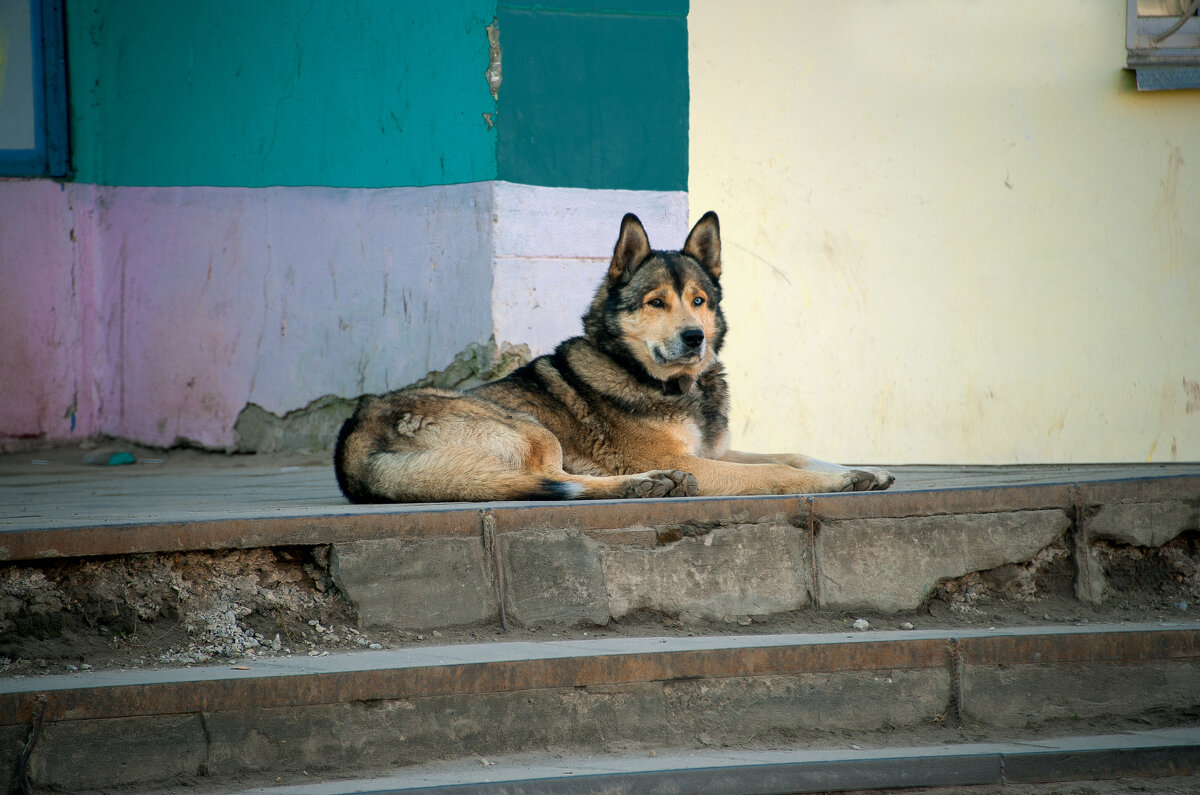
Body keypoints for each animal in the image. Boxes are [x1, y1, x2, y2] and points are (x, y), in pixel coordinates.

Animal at [333, 213, 897, 504]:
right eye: (655, 303)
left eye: (699, 300)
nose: (695, 337)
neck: (666, 384)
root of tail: (353, 444)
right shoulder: (693, 460)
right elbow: (775, 472)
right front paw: (838, 480)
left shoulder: (714, 452)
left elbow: (793, 453)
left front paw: (862, 469)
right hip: (532, 429)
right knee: (555, 481)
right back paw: (646, 484)